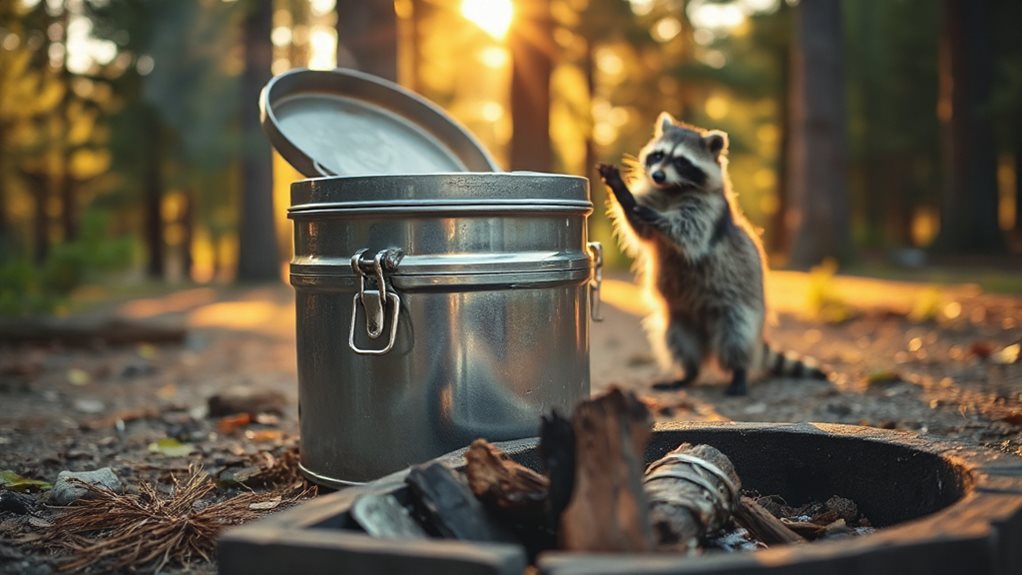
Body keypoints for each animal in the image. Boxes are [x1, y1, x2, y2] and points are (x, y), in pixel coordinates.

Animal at [597, 112, 826, 396]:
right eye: (658, 155)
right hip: (679, 316)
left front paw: (652, 214)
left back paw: (739, 373)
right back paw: (687, 373)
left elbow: (688, 233)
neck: (672, 190)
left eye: (681, 161)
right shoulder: (655, 194)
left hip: (738, 306)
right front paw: (623, 193)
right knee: (679, 342)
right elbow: (640, 230)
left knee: (735, 337)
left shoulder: (708, 209)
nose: (658, 175)